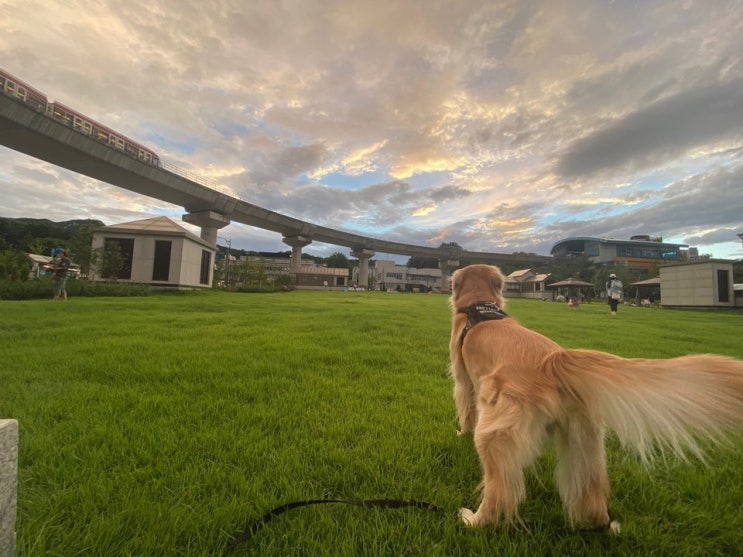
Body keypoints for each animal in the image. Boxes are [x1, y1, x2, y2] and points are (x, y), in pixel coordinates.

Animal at [448, 262, 743, 532]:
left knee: (501, 491)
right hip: (584, 441)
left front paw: (462, 432)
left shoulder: (464, 381)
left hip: (495, 435)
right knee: (590, 496)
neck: (480, 305)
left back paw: (473, 520)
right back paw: (598, 525)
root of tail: (554, 360)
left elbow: (466, 408)